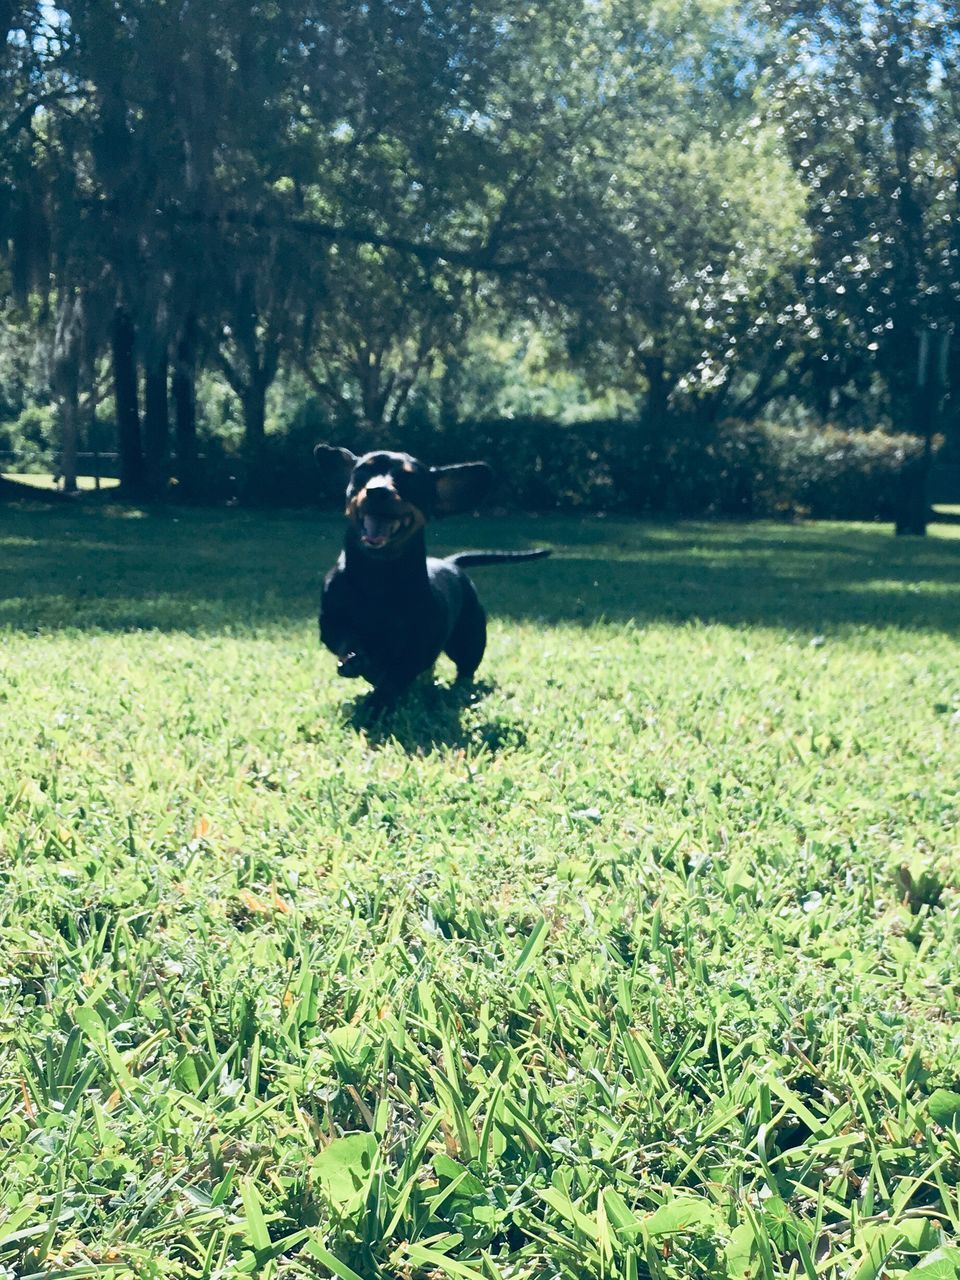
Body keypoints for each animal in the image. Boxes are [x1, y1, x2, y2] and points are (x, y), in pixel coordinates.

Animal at [317, 448, 547, 711]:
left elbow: (395, 677)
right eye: (363, 471)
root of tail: (451, 562)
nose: (377, 491)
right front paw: (357, 661)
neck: (377, 575)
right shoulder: (331, 625)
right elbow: (348, 641)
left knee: (466, 670)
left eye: (410, 479)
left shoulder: (420, 648)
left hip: (470, 639)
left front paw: (376, 706)